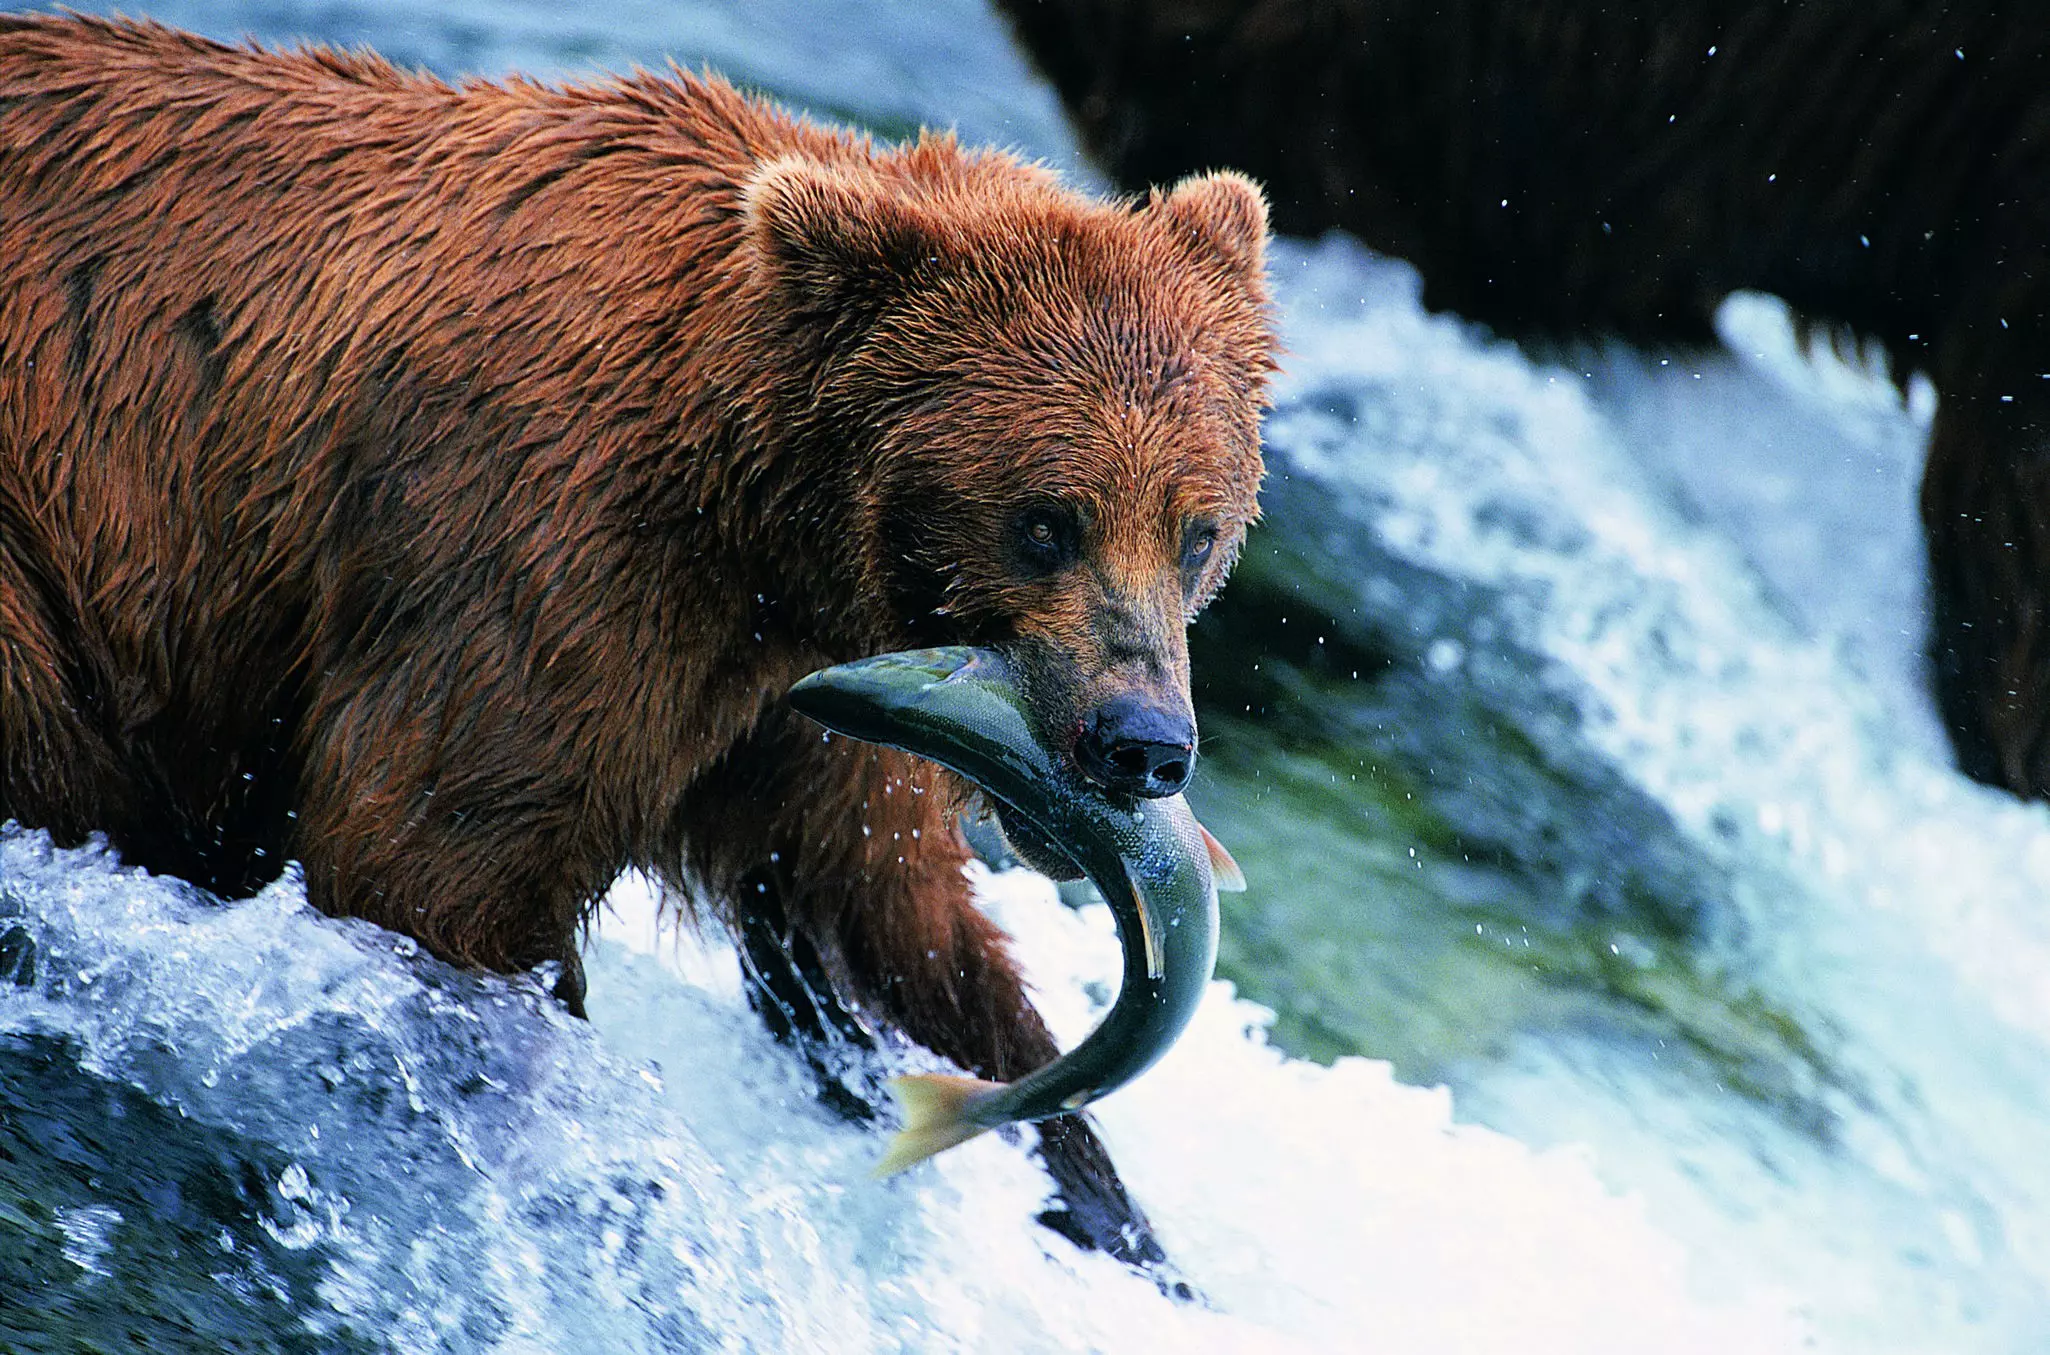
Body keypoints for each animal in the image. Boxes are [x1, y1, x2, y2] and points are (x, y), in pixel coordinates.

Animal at [0, 14, 1276, 1268]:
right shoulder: (543, 551)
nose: (1141, 742)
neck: (752, 502)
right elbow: (434, 866)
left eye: (1196, 529)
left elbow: (877, 919)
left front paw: (1114, 1211)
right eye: (1046, 520)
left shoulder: (795, 690)